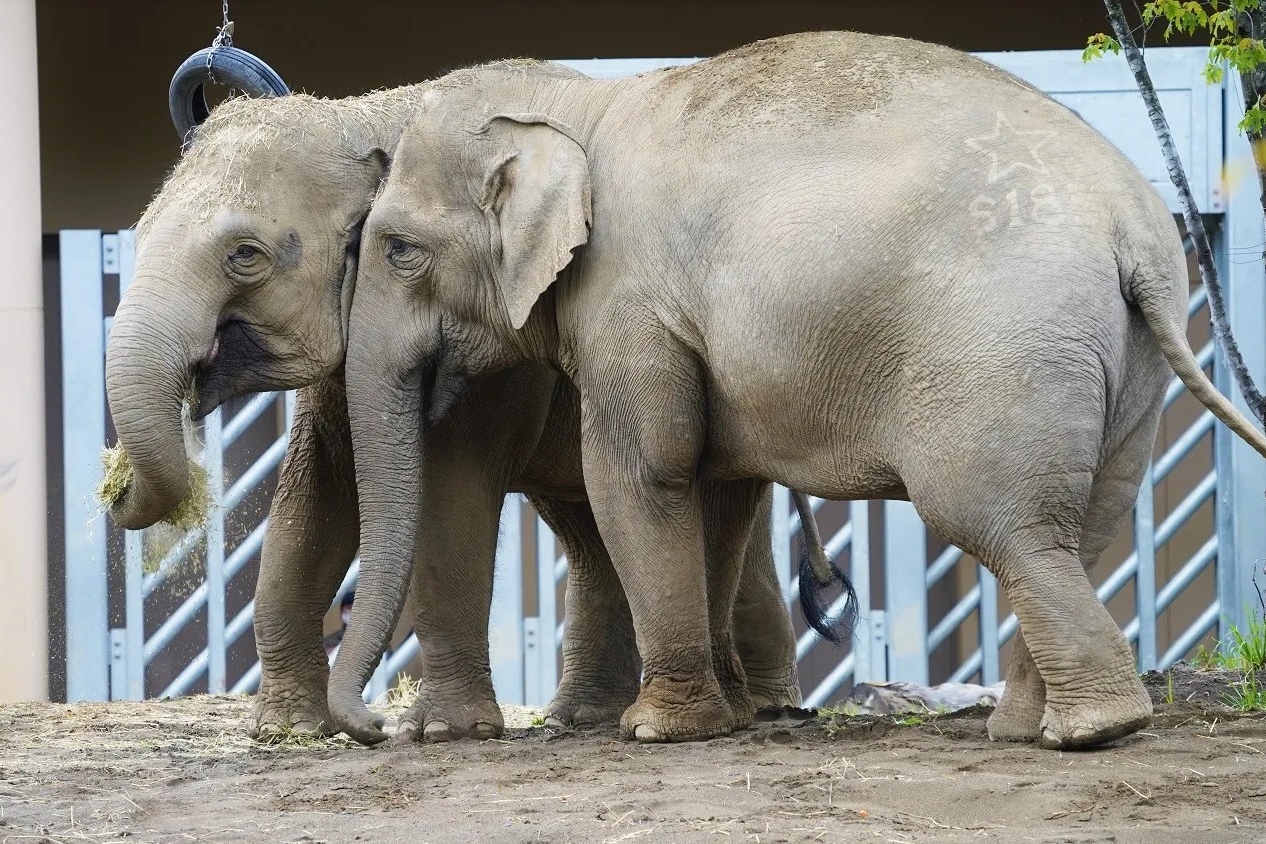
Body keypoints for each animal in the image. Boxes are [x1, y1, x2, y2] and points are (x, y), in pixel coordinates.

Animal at [100, 75, 833, 743]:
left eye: (245, 255)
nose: (375, 725)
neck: (365, 113)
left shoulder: (490, 339)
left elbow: (451, 481)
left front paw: (444, 731)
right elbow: (315, 496)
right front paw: (288, 731)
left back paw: (757, 709)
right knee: (588, 526)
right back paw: (584, 717)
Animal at [333, 29, 1266, 751]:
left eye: (399, 250)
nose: (379, 728)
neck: (578, 101)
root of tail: (1131, 228)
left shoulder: (630, 300)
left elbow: (640, 474)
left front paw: (657, 730)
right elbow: (716, 489)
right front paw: (723, 719)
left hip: (1009, 349)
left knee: (1009, 528)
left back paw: (1089, 731)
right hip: (1126, 363)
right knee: (1086, 527)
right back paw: (1025, 728)